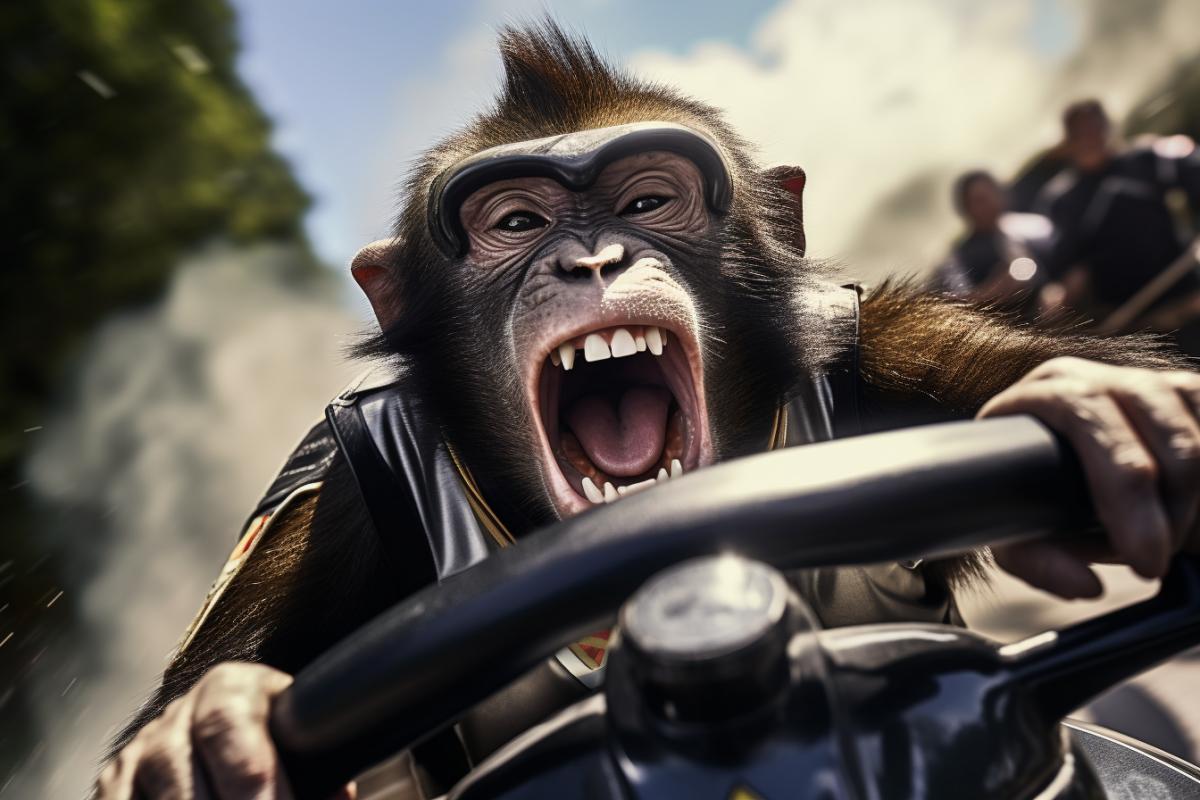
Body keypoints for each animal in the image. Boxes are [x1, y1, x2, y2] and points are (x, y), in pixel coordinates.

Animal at [96, 21, 1200, 800]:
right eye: (517, 222)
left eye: (644, 203)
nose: (591, 259)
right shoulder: (334, 492)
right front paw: (205, 725)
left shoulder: (891, 346)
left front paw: (1107, 408)